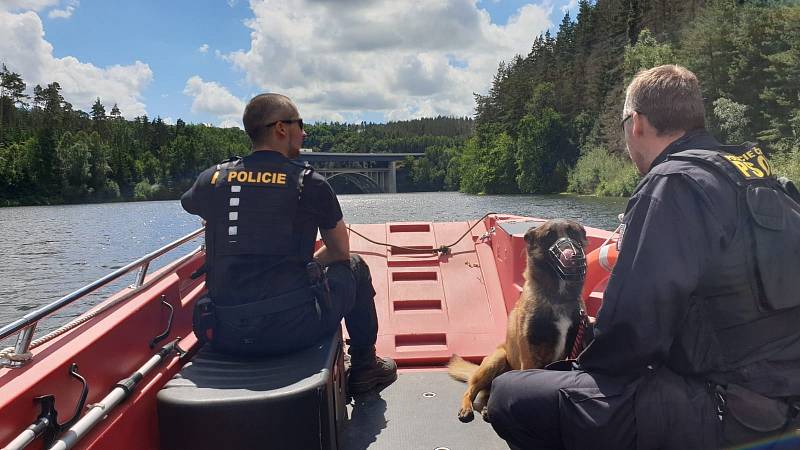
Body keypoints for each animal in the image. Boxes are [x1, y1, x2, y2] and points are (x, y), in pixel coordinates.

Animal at [446, 218, 592, 422]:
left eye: (573, 233)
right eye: (549, 235)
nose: (571, 254)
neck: (557, 297)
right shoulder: (529, 355)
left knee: (486, 397)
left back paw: (487, 409)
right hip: (496, 360)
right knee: (472, 390)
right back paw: (467, 407)